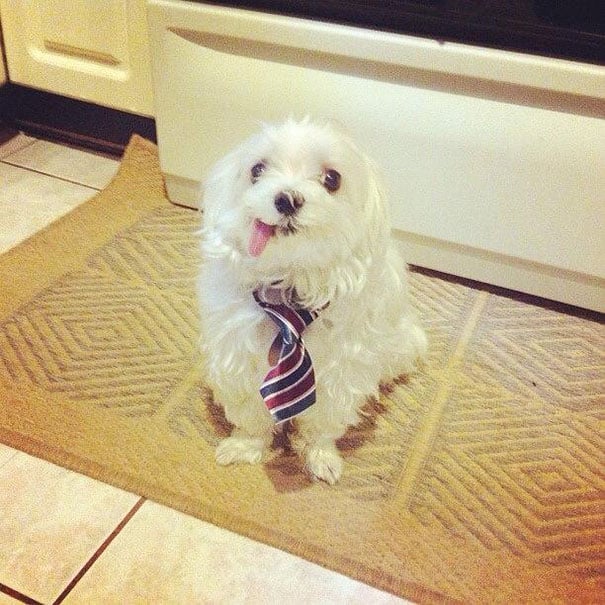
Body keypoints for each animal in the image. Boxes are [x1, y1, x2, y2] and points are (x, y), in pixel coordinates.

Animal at [198, 119, 424, 486]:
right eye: (257, 169)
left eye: (332, 178)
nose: (287, 199)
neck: (291, 284)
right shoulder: (239, 360)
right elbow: (252, 416)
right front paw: (244, 447)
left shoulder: (339, 374)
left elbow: (320, 424)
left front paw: (320, 458)